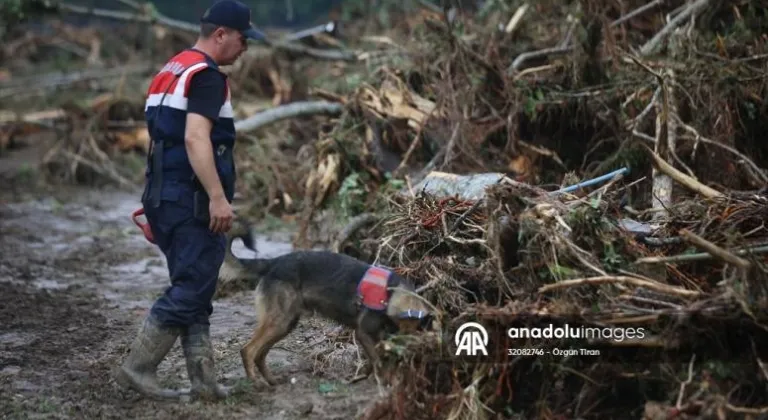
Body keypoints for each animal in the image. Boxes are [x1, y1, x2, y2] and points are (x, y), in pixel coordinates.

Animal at [219, 220, 432, 388]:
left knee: (260, 354)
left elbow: (374, 361)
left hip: (286, 324)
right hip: (279, 321)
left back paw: (271, 380)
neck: (390, 293)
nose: (408, 350)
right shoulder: (363, 333)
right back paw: (255, 382)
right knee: (248, 350)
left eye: (415, 330)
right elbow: (379, 361)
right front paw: (385, 380)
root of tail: (273, 262)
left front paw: (367, 377)